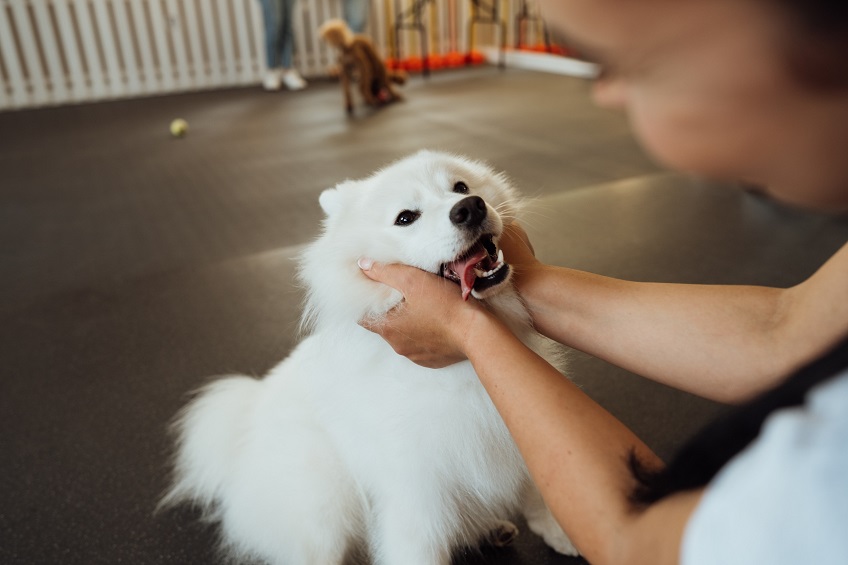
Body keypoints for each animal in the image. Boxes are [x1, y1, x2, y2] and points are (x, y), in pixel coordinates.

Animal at [163, 150, 576, 564]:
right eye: (405, 217)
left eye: (460, 187)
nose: (470, 208)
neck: (468, 358)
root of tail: (242, 426)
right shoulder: (418, 497)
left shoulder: (515, 435)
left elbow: (539, 494)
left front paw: (559, 531)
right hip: (326, 502)